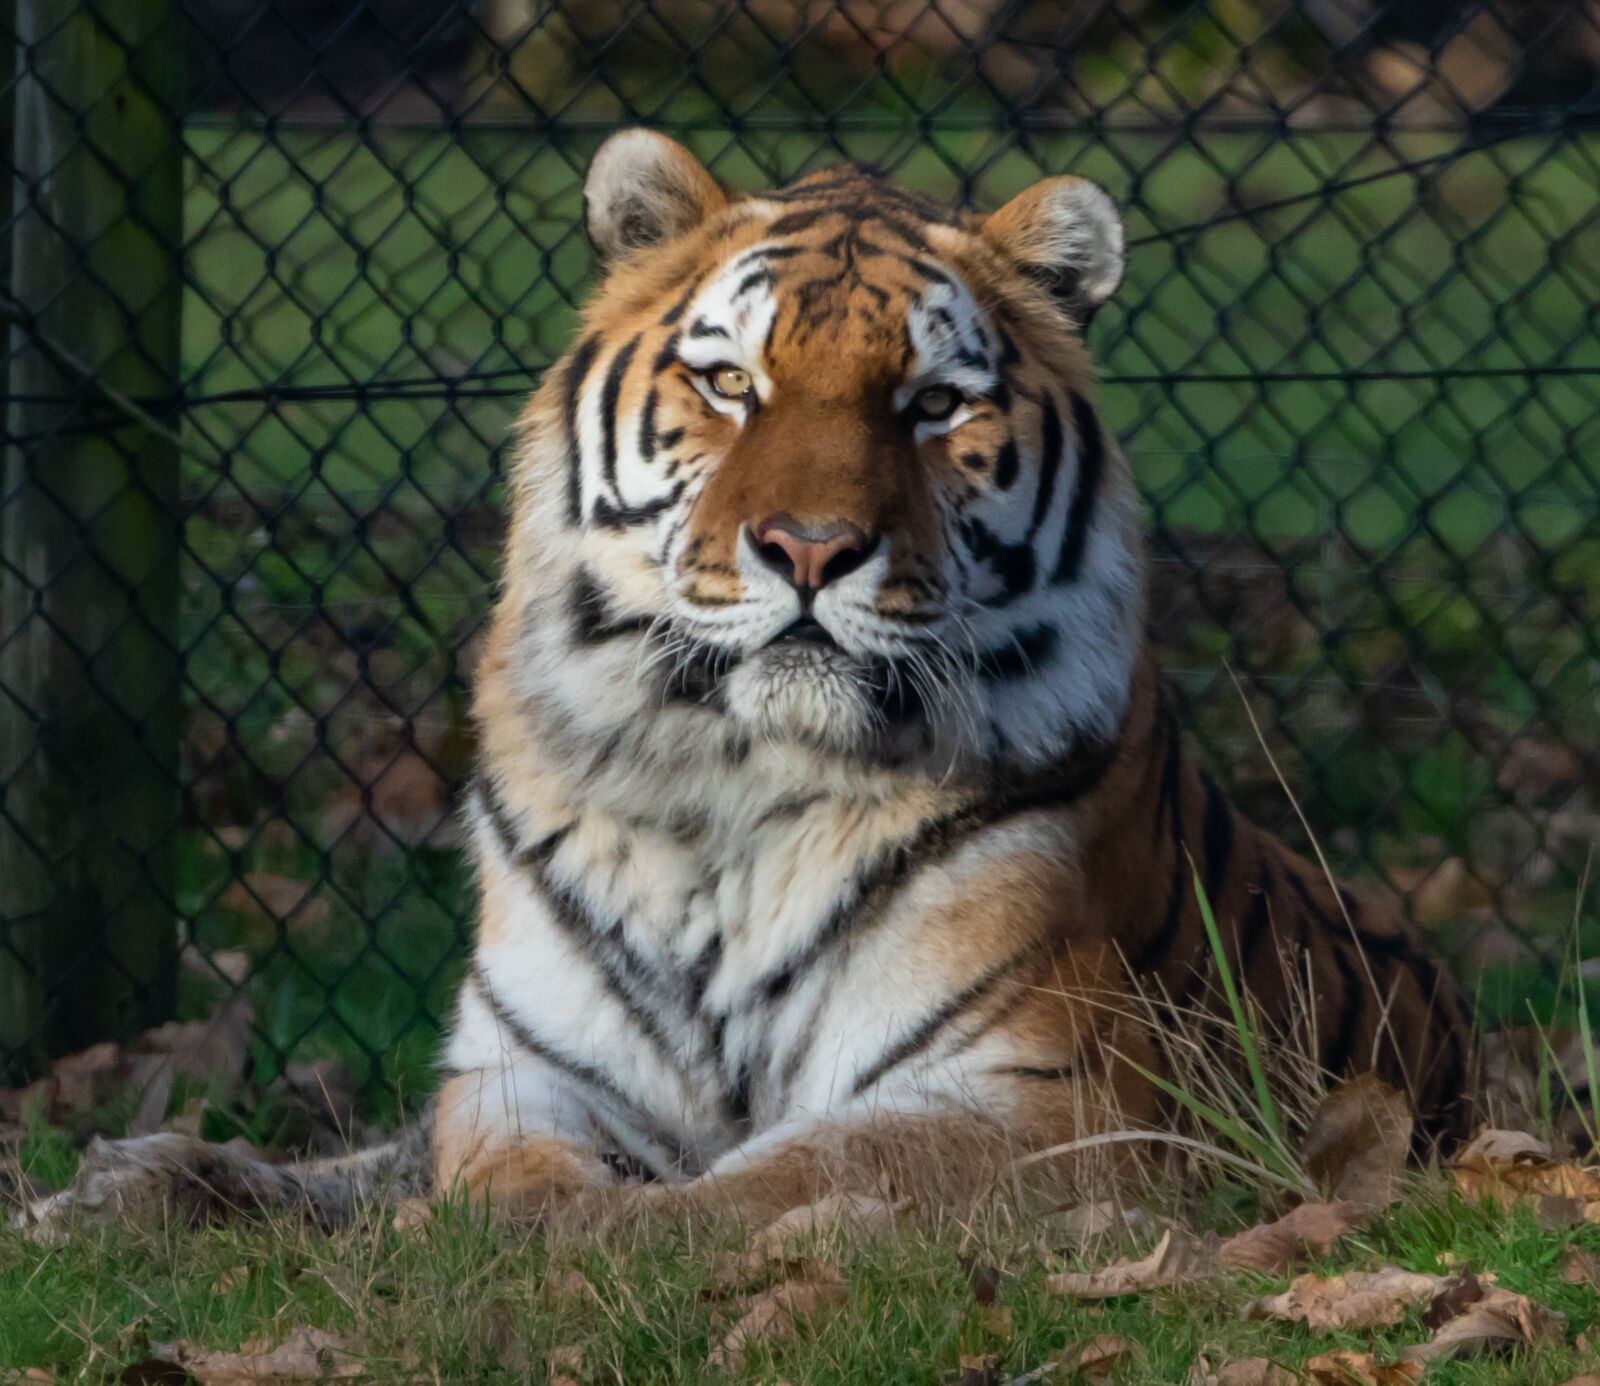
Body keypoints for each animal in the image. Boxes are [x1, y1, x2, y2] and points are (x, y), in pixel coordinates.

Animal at [19, 130, 1472, 1237]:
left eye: (933, 405)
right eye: (729, 382)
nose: (813, 549)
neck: (724, 784)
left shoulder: (1041, 1094)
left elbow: (772, 1174)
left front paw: (584, 1244)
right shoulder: (521, 1068)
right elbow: (488, 1162)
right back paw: (115, 1188)